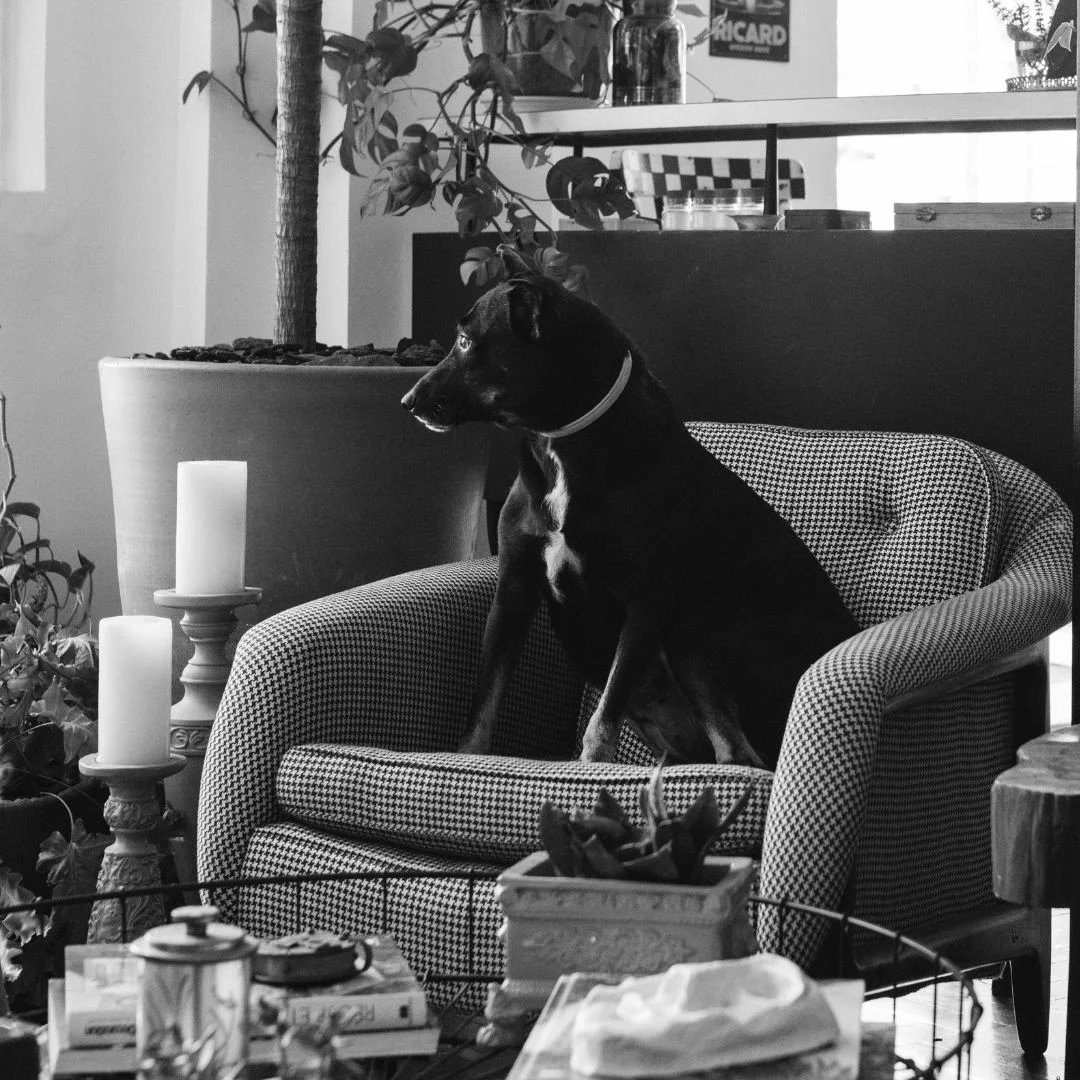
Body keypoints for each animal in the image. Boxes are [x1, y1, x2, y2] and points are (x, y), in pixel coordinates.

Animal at [401, 250, 858, 769]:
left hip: (694, 627)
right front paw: (467, 757)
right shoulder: (513, 592)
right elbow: (484, 703)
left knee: (738, 757)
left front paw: (591, 768)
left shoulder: (645, 603)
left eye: (464, 342)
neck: (564, 440)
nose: (407, 401)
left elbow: (602, 720)